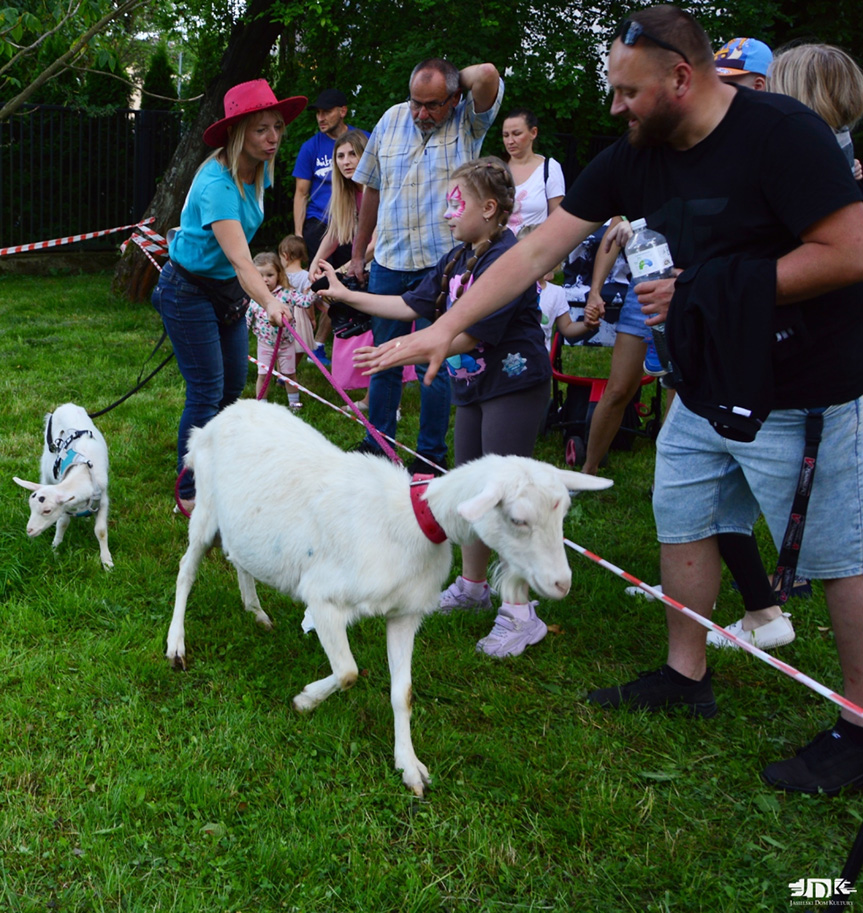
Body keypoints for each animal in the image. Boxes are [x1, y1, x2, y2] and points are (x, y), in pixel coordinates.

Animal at [12, 402, 113, 568]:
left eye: (47, 510)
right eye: (31, 508)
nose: (29, 530)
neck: (83, 472)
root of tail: (66, 405)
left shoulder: (103, 498)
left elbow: (101, 530)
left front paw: (107, 562)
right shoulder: (65, 502)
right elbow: (63, 523)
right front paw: (56, 546)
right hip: (47, 463)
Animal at [167, 400, 616, 792]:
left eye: (563, 513)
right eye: (518, 519)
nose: (561, 584)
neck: (412, 521)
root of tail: (215, 420)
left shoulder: (404, 614)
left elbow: (404, 693)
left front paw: (409, 767)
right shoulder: (323, 599)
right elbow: (348, 671)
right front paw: (306, 700)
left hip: (242, 524)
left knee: (238, 557)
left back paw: (255, 610)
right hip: (205, 509)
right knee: (186, 570)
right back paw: (176, 646)